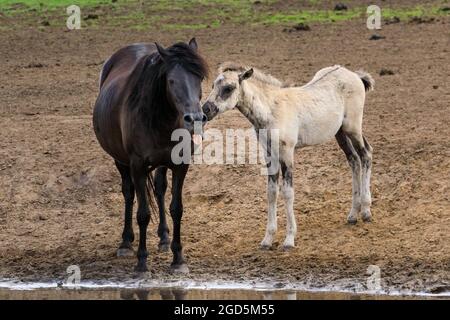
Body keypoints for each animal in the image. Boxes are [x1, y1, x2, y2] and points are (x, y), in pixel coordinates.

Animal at [202, 62, 374, 250]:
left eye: (229, 88)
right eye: (213, 85)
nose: (205, 110)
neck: (271, 110)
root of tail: (355, 75)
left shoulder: (287, 154)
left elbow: (287, 192)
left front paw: (289, 239)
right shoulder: (269, 155)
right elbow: (271, 192)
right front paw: (267, 239)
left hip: (353, 128)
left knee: (366, 154)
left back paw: (366, 211)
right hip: (340, 133)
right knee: (354, 160)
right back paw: (353, 214)